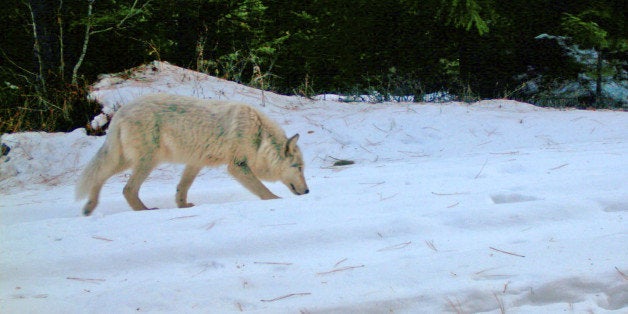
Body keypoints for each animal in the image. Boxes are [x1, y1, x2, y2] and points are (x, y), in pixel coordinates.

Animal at [77, 93, 308, 216]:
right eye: (298, 168)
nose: (307, 191)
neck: (260, 137)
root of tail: (121, 111)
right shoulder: (236, 166)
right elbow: (262, 189)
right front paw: (276, 200)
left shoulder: (196, 162)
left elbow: (182, 188)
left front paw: (183, 206)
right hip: (147, 162)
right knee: (127, 189)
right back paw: (145, 210)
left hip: (127, 161)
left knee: (99, 177)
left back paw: (89, 208)